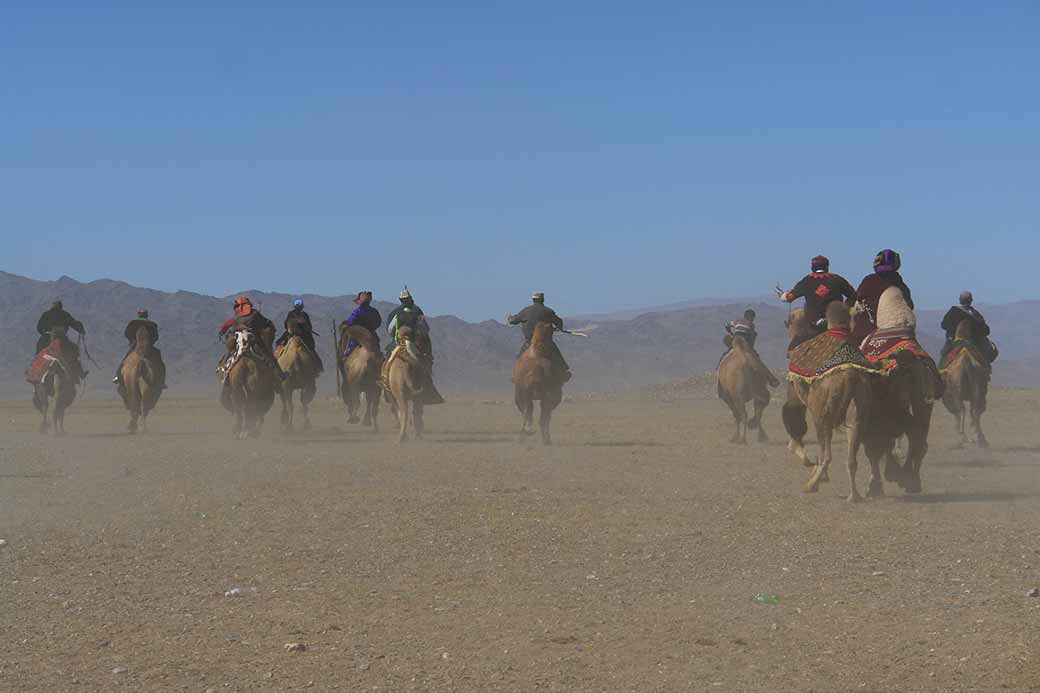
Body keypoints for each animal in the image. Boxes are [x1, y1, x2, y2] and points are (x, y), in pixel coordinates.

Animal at [782, 305, 877, 499]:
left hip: (821, 413)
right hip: (857, 408)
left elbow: (794, 427)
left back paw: (812, 484)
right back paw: (854, 495)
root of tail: (849, 375)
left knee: (826, 454)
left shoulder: (798, 394)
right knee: (851, 457)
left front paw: (809, 464)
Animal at [944, 318, 990, 447]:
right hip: (977, 388)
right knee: (974, 410)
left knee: (964, 410)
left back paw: (966, 438)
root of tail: (966, 361)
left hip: (959, 390)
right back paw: (979, 439)